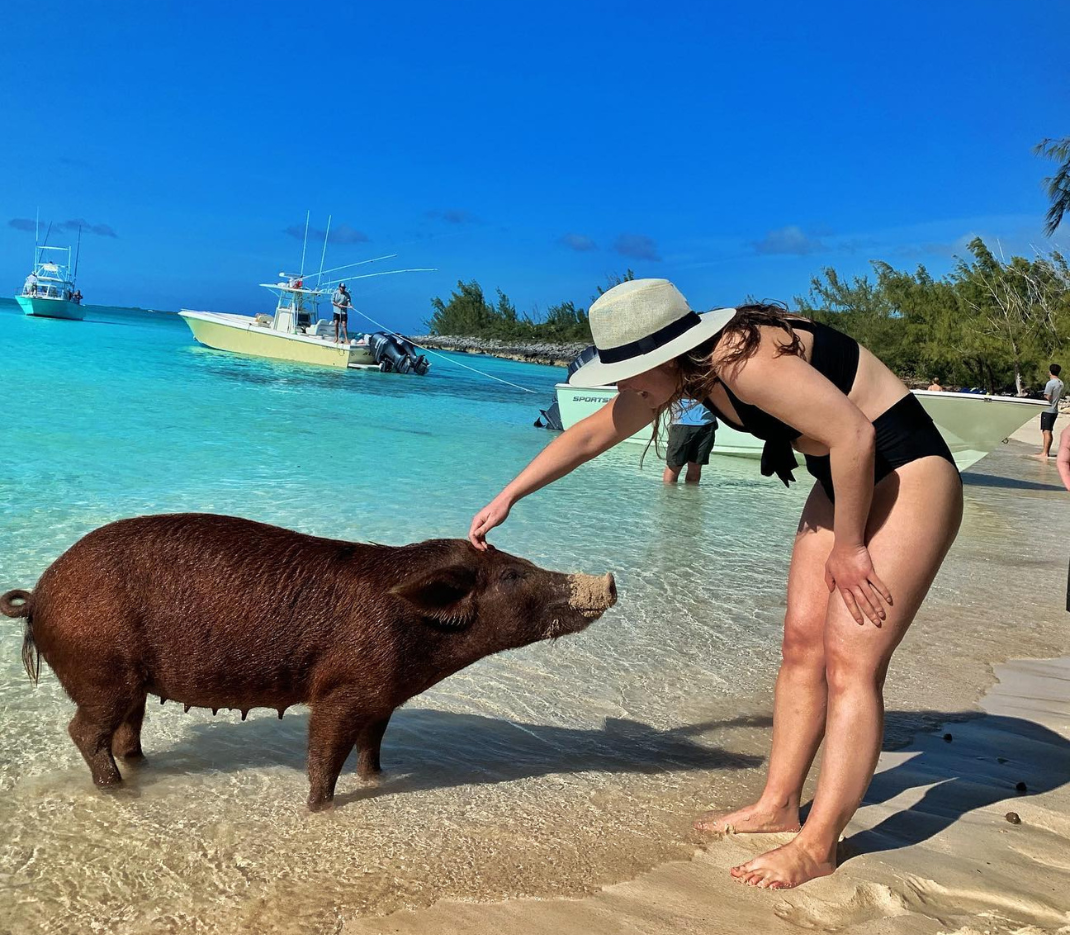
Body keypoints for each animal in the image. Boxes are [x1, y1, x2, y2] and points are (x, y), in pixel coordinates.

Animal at [0, 513, 616, 810]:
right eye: (511, 575)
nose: (608, 580)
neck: (415, 635)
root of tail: (38, 595)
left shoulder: (383, 694)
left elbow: (372, 744)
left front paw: (376, 779)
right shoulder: (342, 686)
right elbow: (325, 750)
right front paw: (320, 808)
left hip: (130, 680)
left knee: (127, 729)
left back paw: (139, 770)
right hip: (100, 667)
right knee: (84, 730)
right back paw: (115, 790)